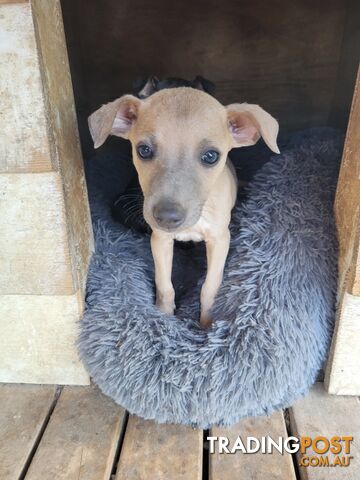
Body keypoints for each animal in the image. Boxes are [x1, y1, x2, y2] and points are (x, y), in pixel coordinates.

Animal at [88, 88, 280, 328]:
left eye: (211, 156)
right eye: (144, 150)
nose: (167, 217)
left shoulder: (220, 239)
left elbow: (209, 287)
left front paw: (207, 324)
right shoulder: (160, 240)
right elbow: (164, 285)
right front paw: (164, 316)